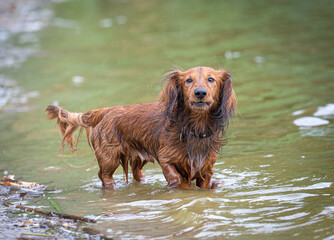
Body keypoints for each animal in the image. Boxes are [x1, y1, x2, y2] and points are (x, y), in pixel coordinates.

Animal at [45, 66, 236, 189]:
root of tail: (107, 110)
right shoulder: (166, 160)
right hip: (109, 158)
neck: (194, 127)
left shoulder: (206, 169)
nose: (200, 93)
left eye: (211, 79)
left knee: (137, 174)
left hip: (138, 158)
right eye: (188, 80)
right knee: (104, 176)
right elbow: (177, 179)